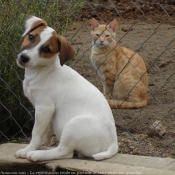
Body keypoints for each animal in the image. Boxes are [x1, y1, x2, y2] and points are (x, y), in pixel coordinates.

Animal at [15, 16, 118, 161]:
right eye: (31, 37)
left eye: (47, 50)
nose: (24, 58)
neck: (42, 70)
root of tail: (113, 142)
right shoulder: (48, 113)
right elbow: (46, 132)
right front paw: (40, 145)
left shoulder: (44, 107)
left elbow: (36, 132)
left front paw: (28, 149)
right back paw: (44, 149)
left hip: (73, 125)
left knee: (65, 152)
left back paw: (37, 154)